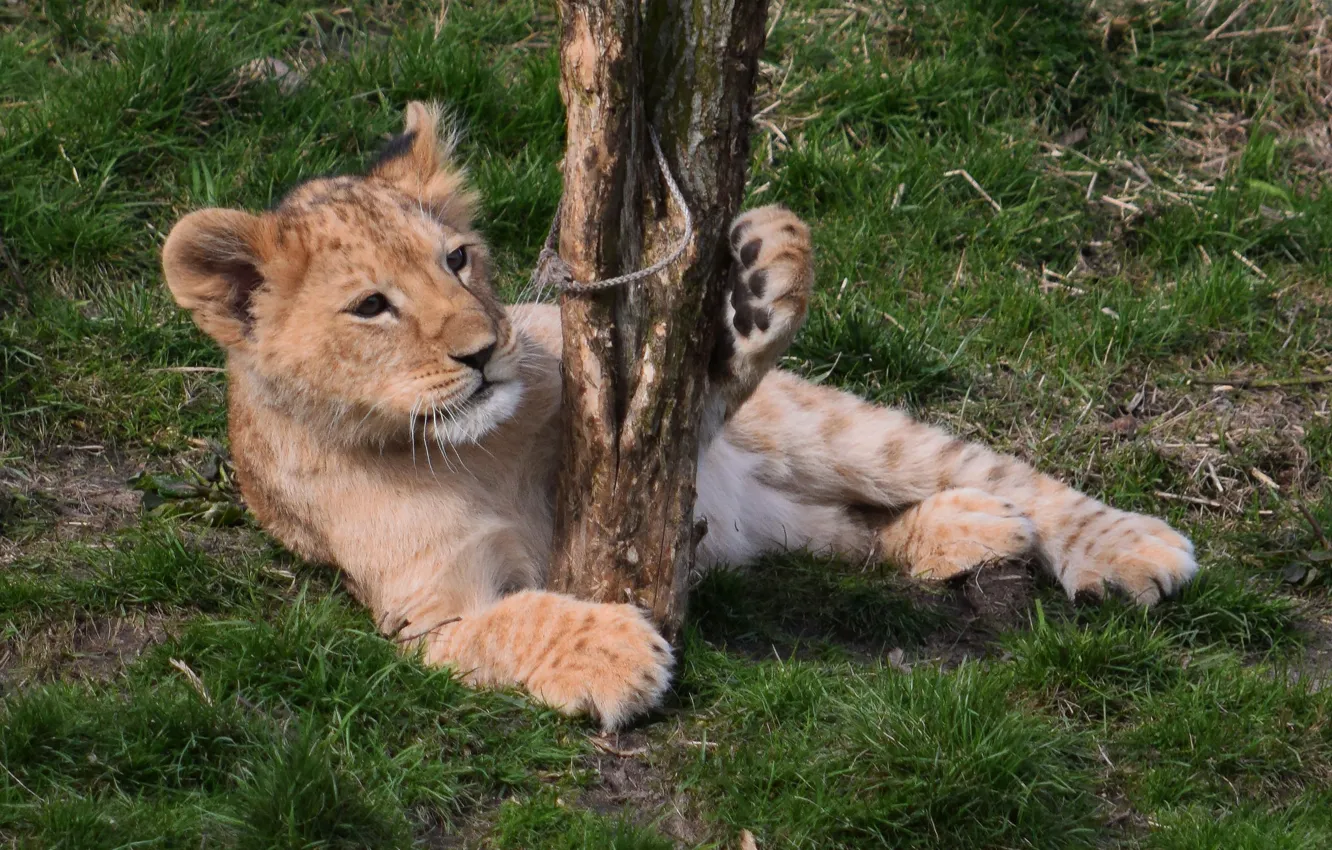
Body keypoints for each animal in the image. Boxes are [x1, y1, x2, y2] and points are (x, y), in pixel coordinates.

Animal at [162, 102, 1198, 729]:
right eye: (371, 306)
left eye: (456, 260)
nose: (484, 349)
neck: (460, 453)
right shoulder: (420, 620)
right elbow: (508, 625)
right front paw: (613, 651)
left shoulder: (608, 439)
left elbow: (686, 409)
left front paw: (753, 300)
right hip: (761, 527)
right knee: (849, 532)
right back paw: (967, 533)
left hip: (817, 430)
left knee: (993, 473)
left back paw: (1120, 544)